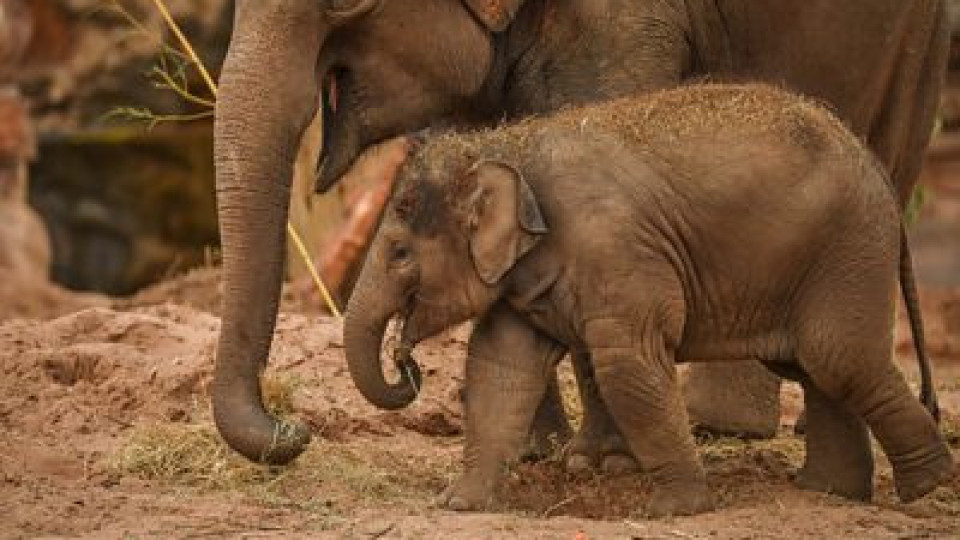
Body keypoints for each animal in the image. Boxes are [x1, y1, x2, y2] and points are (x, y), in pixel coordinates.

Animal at [214, 0, 948, 464]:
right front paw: (534, 455)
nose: (295, 429)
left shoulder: (622, 23)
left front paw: (602, 462)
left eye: (341, 1)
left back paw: (731, 426)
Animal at [344, 83, 952, 516]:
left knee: (840, 360)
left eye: (399, 252)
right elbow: (499, 367)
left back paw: (927, 487)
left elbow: (628, 365)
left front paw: (675, 510)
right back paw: (829, 493)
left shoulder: (616, 249)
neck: (505, 144)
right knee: (814, 367)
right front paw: (459, 504)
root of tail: (880, 172)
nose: (405, 362)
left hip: (848, 252)